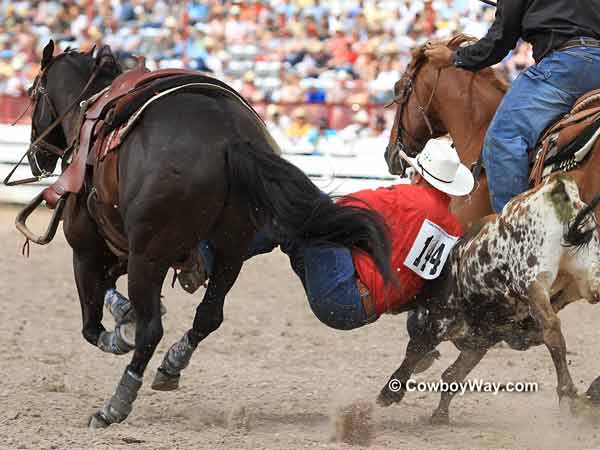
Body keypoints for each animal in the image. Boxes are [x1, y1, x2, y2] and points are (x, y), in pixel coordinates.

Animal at [19, 42, 394, 428]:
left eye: (33, 92)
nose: (36, 157)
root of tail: (229, 137)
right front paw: (126, 317)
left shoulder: (88, 250)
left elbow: (92, 324)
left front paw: (120, 334)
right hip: (231, 250)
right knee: (209, 316)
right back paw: (171, 365)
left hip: (148, 257)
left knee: (151, 330)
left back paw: (114, 406)